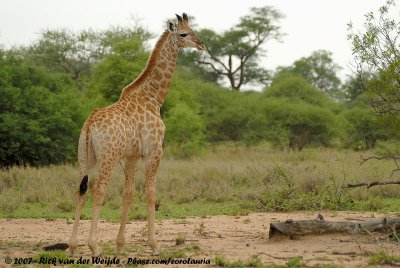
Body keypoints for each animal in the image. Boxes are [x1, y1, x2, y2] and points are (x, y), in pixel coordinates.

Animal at [68, 13, 205, 256]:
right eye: (183, 34)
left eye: (193, 30)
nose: (202, 44)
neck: (153, 98)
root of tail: (90, 123)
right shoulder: (154, 152)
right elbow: (151, 194)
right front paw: (154, 245)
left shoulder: (132, 156)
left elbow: (128, 193)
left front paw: (120, 245)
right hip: (108, 157)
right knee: (98, 190)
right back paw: (94, 247)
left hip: (85, 157)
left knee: (81, 190)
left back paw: (74, 247)